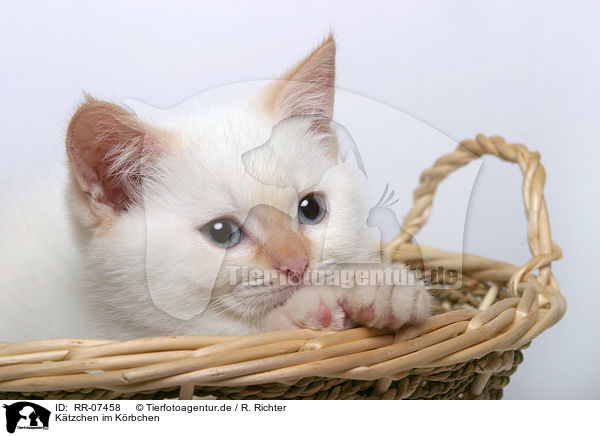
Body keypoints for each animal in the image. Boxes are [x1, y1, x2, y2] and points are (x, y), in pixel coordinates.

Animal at [0, 35, 432, 340]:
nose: (297, 266)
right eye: (222, 233)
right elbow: (230, 333)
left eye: (311, 209)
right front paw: (302, 312)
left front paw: (384, 286)